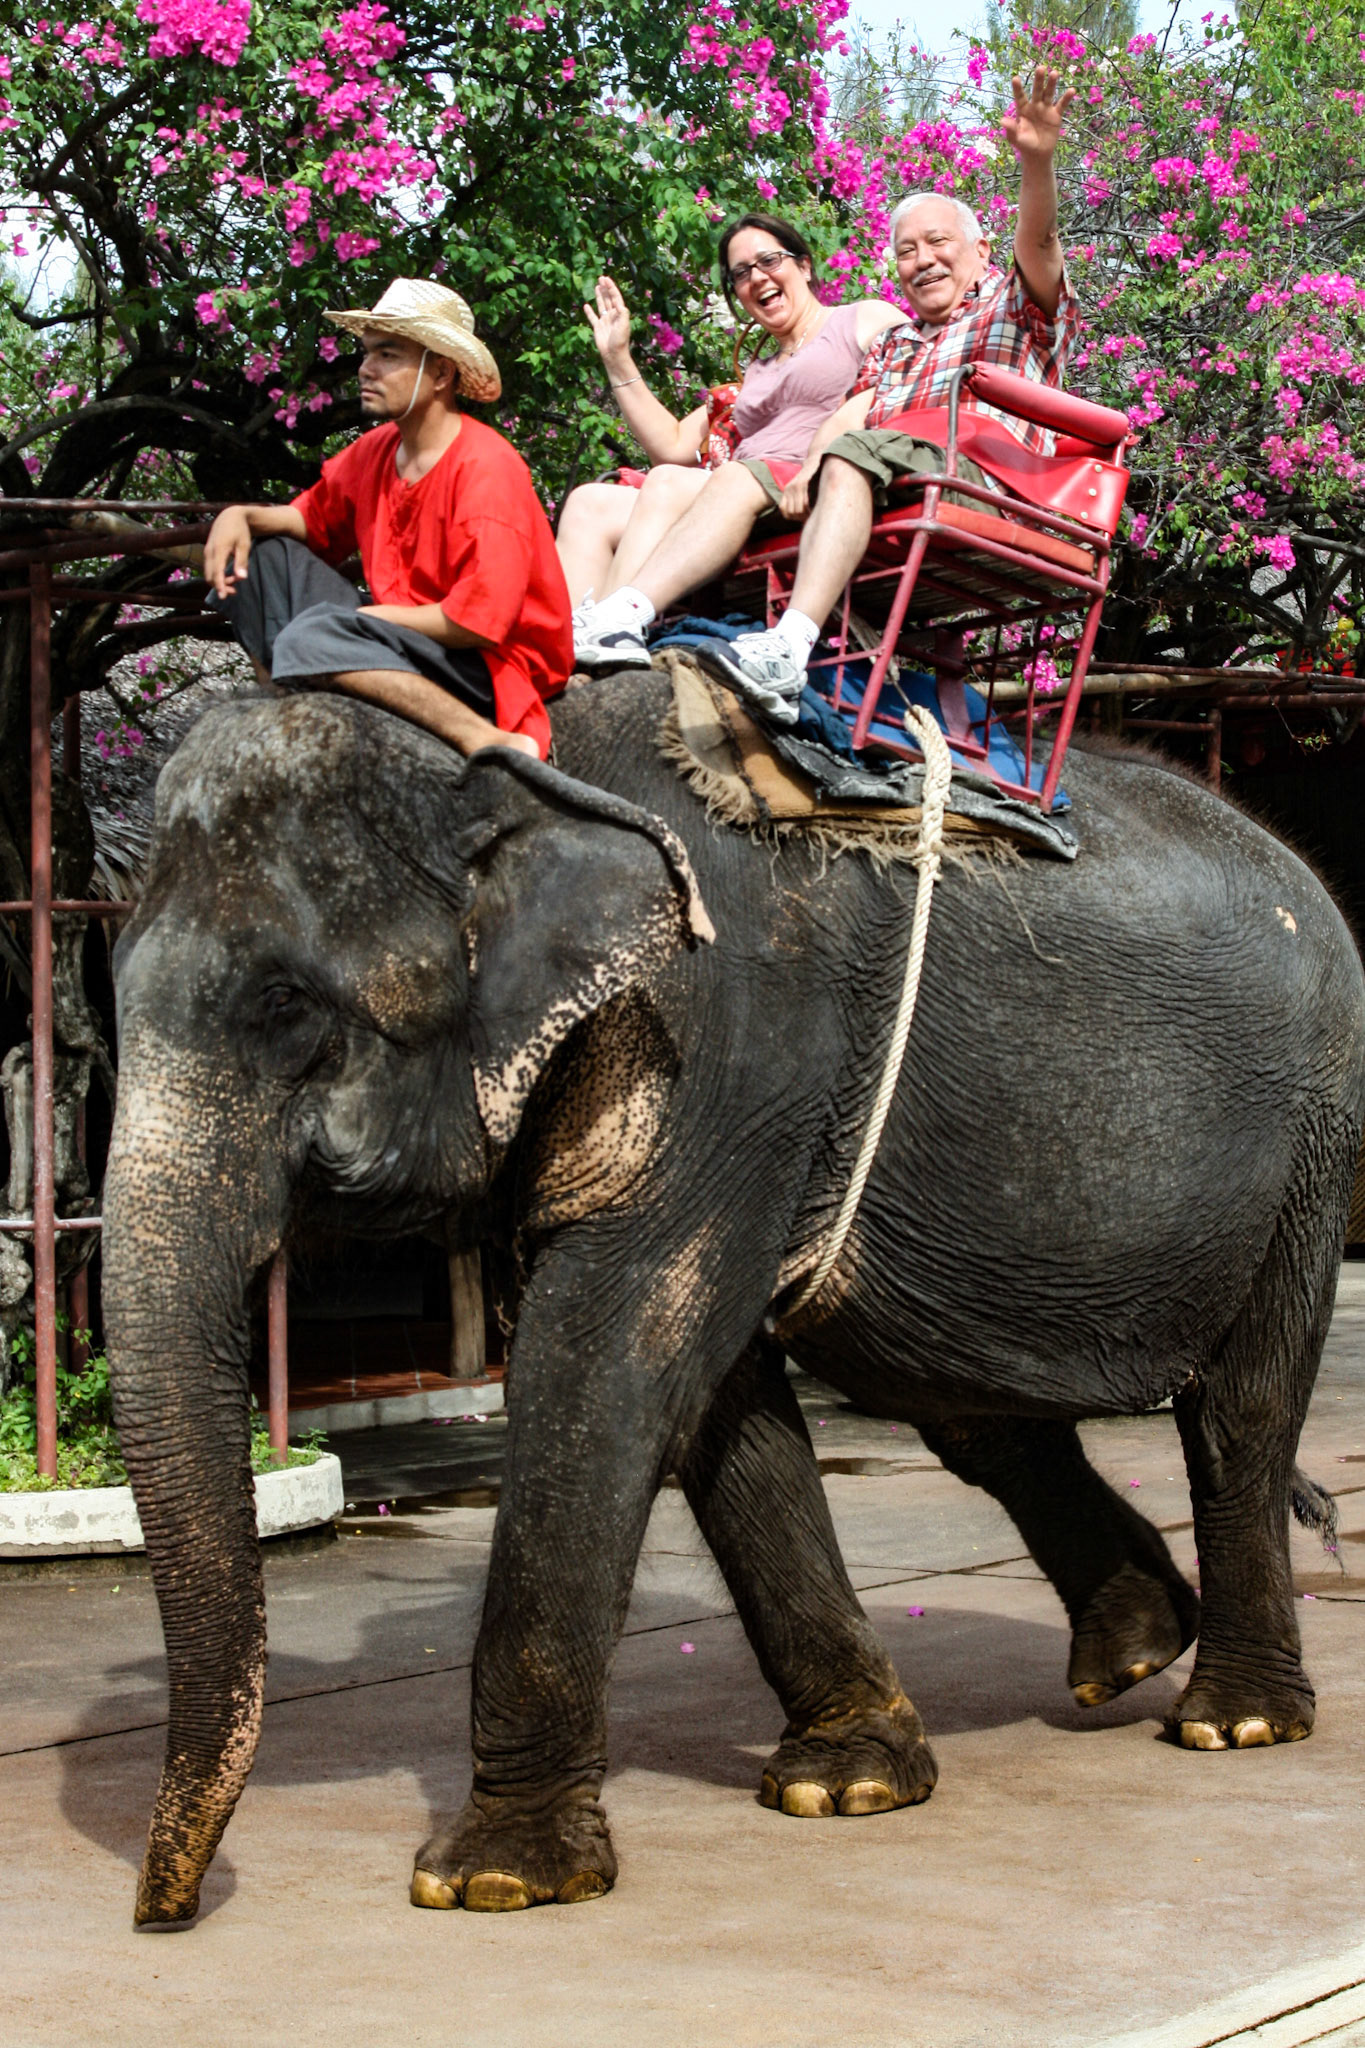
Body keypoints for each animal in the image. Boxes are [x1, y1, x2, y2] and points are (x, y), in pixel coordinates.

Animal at [101, 669, 1365, 1928]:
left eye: (284, 1005)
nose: (166, 1911)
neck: (515, 761)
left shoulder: (735, 1045)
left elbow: (611, 1352)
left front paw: (496, 1880)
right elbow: (711, 1394)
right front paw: (847, 1785)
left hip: (1314, 1143)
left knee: (1240, 1412)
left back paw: (1233, 1720)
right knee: (967, 1406)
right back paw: (1133, 1651)